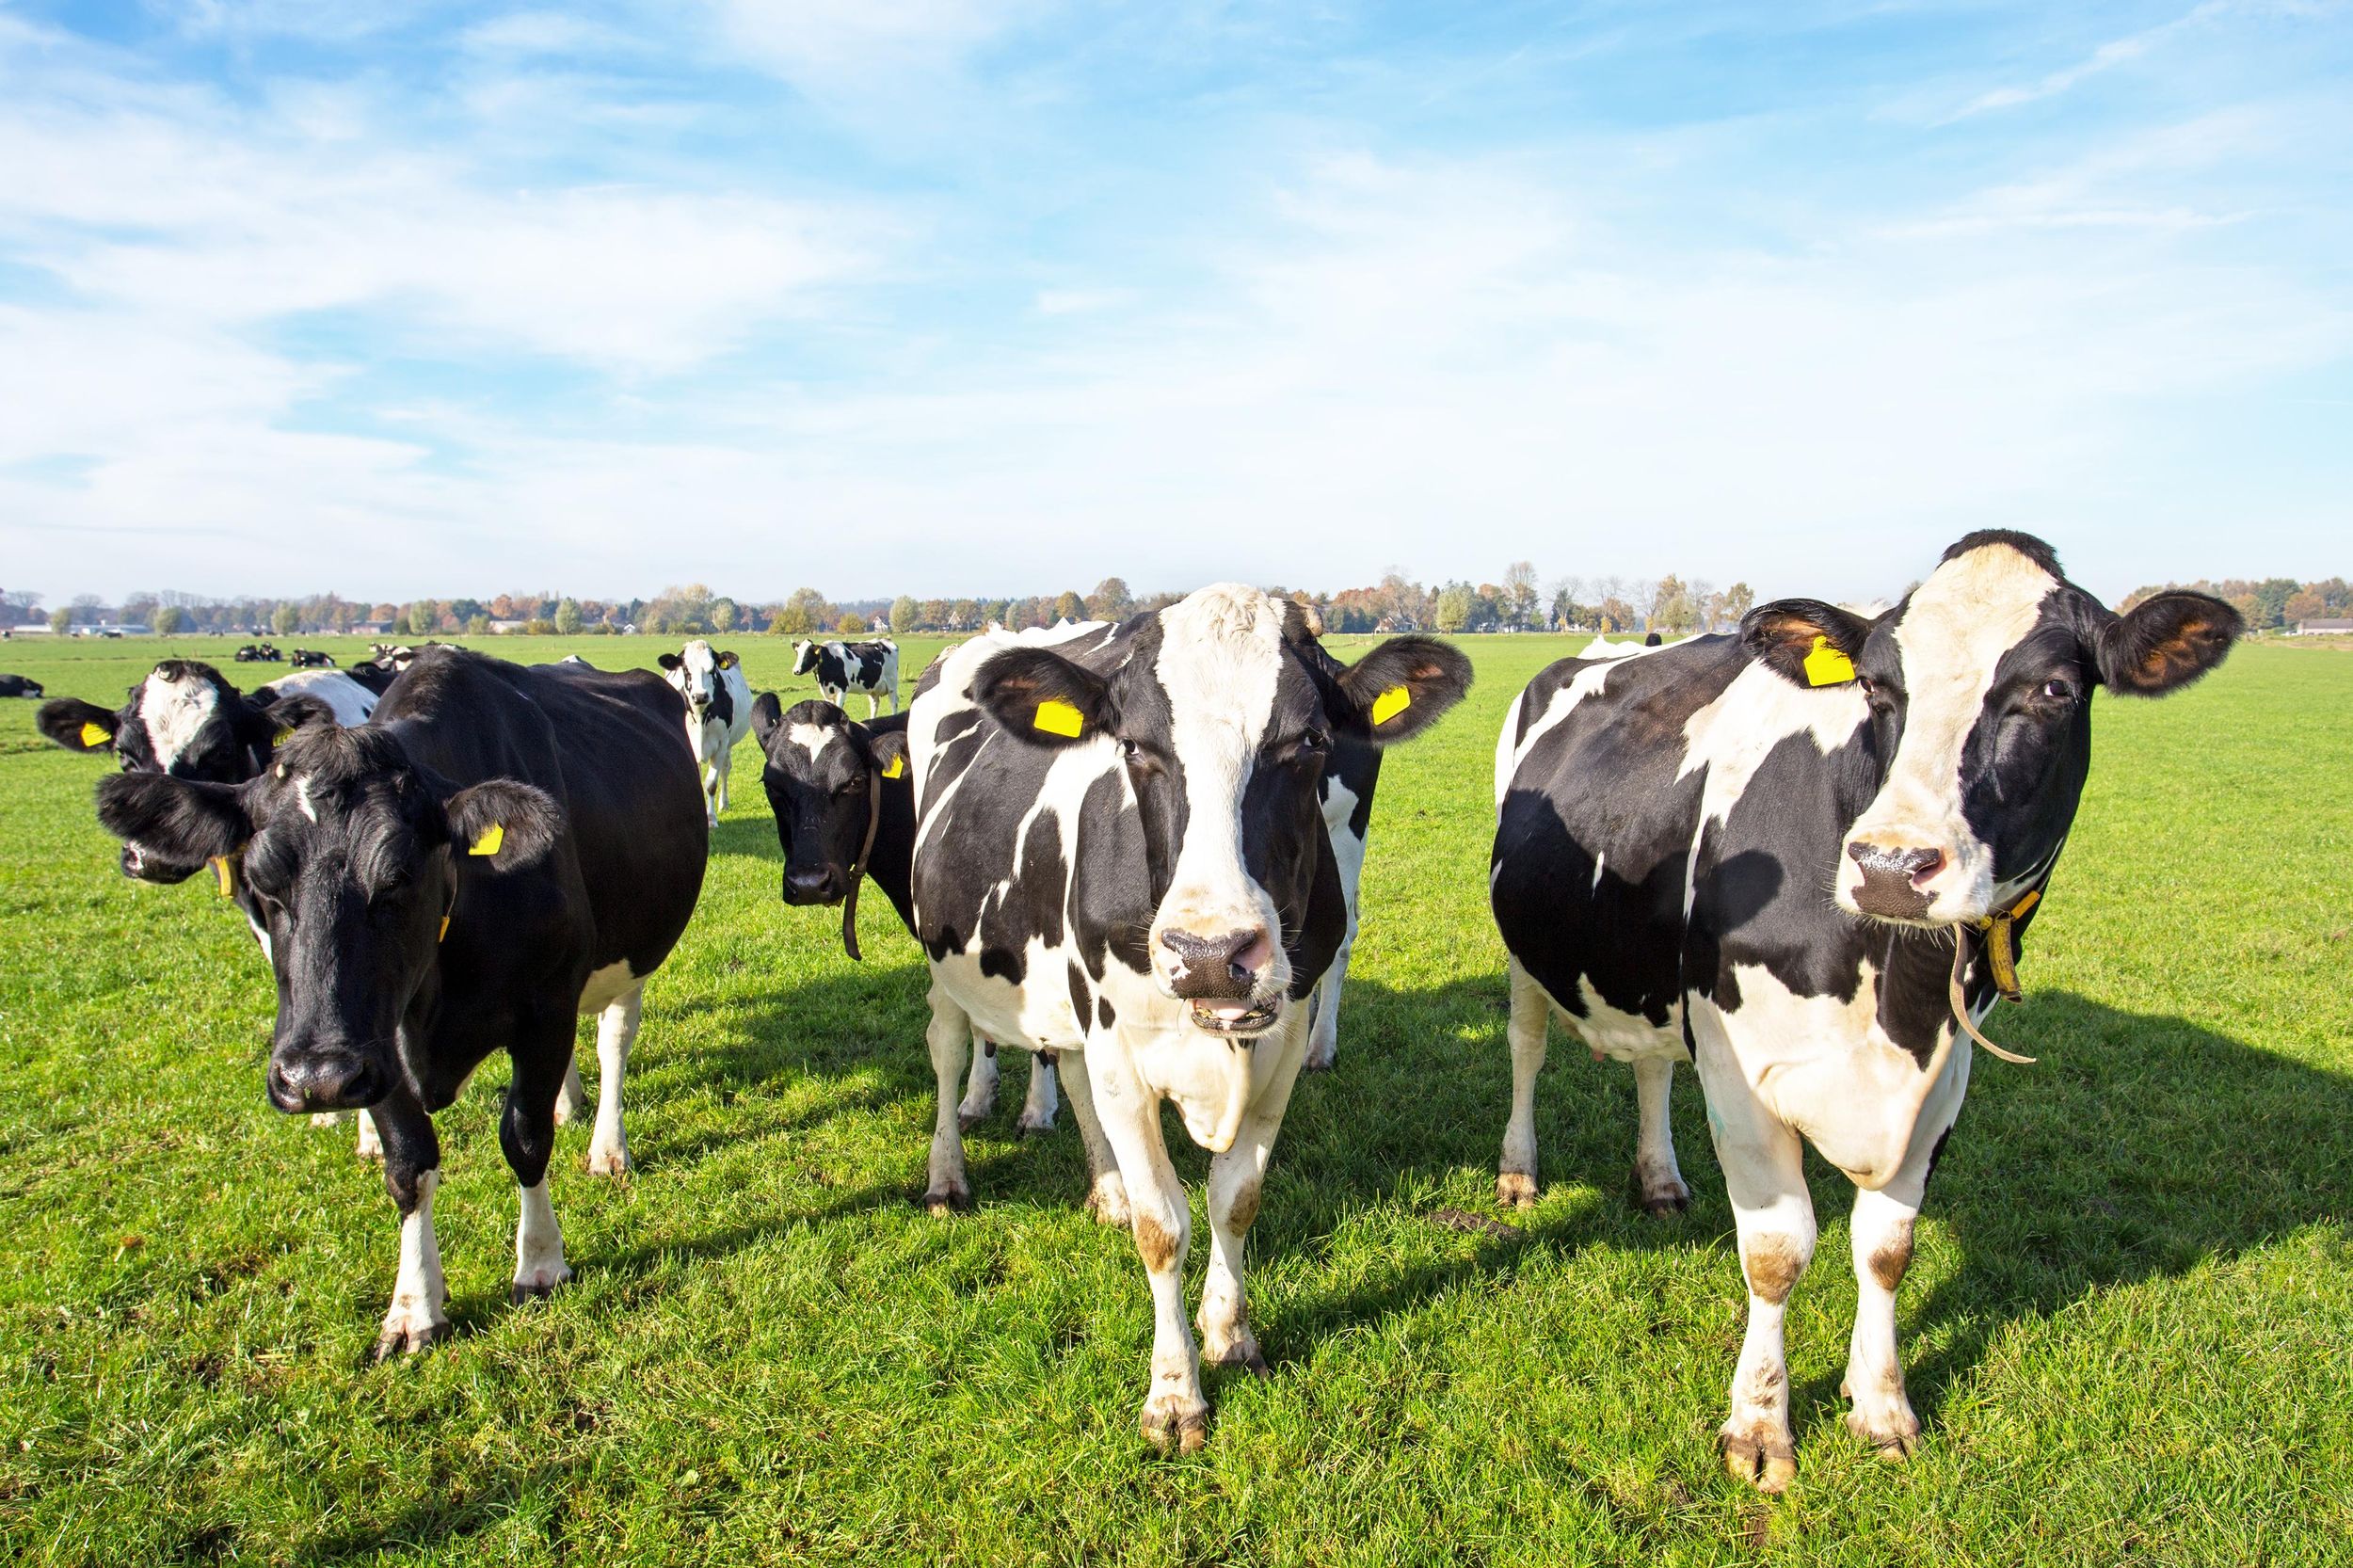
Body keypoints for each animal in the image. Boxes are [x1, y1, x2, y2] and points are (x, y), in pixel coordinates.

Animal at [88, 648, 708, 1355]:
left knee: (612, 1041)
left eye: (400, 877)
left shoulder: (543, 1009)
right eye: (262, 882)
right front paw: (414, 1307)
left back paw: (607, 1147)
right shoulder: (371, 1044)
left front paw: (541, 1264)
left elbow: (525, 1136)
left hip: (633, 954)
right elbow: (409, 1164)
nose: (313, 1078)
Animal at [656, 640, 754, 825]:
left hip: (729, 744)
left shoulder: (721, 745)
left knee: (725, 769)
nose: (700, 696)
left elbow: (711, 784)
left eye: (712, 669)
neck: (701, 715)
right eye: (686, 670)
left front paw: (711, 819)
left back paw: (724, 803)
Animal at [907, 588, 1471, 1448]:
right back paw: (948, 1175)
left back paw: (1105, 1189)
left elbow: (1234, 1199)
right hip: (945, 962)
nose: (1211, 954)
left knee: (1071, 1075)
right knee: (946, 1048)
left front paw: (1229, 1334)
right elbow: (1163, 1226)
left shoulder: (1282, 1046)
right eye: (1136, 746)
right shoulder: (1121, 1049)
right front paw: (1174, 1394)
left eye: (1311, 740)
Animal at [1488, 531, 2239, 1492]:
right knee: (1527, 1049)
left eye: (2055, 691)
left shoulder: (1944, 1078)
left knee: (1653, 1065)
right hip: (1526, 953)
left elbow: (1886, 1248)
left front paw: (1880, 1406)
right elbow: (1778, 1254)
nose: (1890, 866)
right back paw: (1518, 1170)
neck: (1896, 989)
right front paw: (1759, 1427)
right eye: (1879, 688)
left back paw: (1659, 1180)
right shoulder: (1739, 1069)